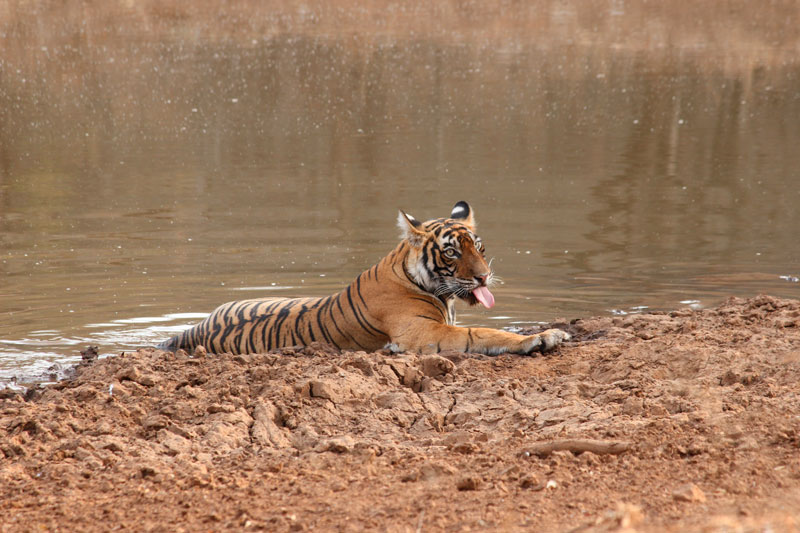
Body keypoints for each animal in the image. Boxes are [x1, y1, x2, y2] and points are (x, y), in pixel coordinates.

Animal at [158, 202, 568, 356]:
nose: (484, 278)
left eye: (479, 247)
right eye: (452, 252)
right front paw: (543, 337)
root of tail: (194, 329)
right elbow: (485, 334)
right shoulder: (424, 333)